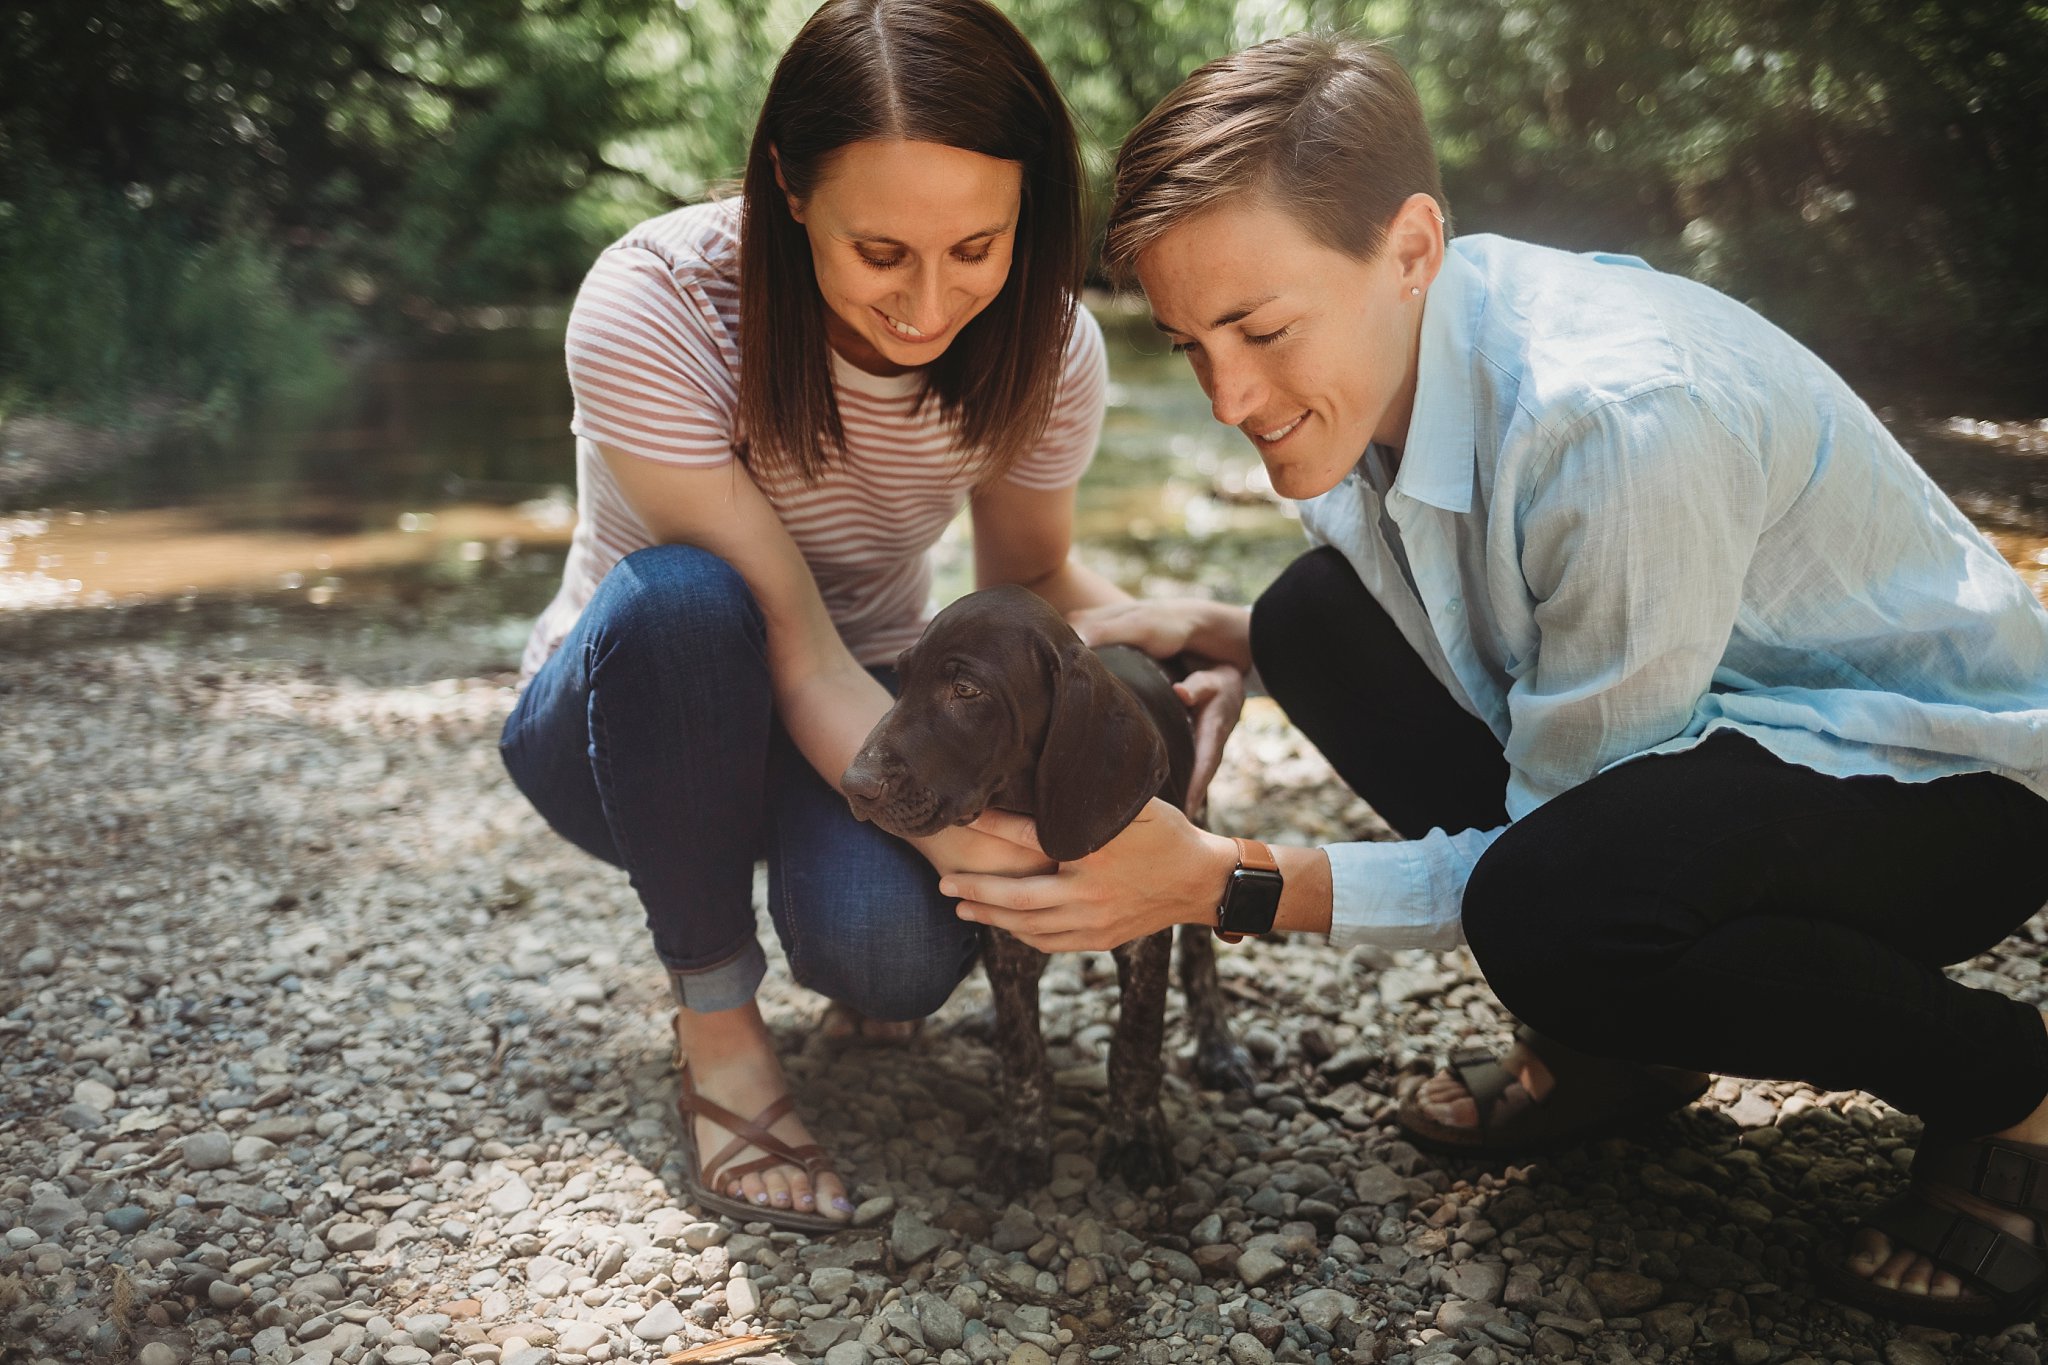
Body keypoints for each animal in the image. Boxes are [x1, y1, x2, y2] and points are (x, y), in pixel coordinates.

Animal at [843, 589, 1253, 1195]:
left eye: (966, 691)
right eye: (902, 677)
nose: (854, 785)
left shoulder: (1147, 933)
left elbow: (1135, 1045)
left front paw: (1137, 1136)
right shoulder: (1000, 925)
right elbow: (1023, 1049)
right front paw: (1022, 1140)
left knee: (1201, 960)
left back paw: (1220, 1047)